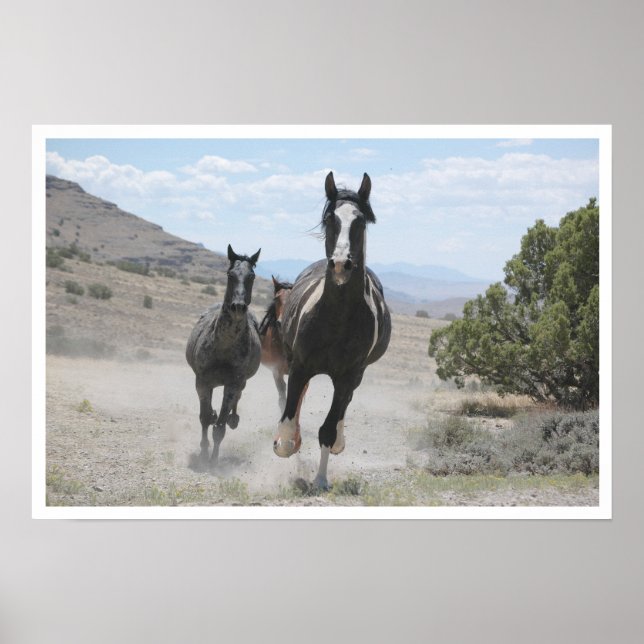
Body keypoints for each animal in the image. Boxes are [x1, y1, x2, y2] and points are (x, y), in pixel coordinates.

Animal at [185, 244, 261, 464]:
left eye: (252, 276)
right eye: (230, 274)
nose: (238, 307)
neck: (224, 347)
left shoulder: (233, 384)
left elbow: (219, 427)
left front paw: (213, 461)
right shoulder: (202, 382)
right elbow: (204, 418)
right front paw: (204, 453)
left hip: (240, 383)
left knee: (234, 404)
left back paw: (233, 418)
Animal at [273, 171, 392, 489]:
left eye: (360, 221)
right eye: (330, 219)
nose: (340, 264)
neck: (336, 318)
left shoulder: (349, 376)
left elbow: (327, 429)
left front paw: (321, 479)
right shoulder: (300, 366)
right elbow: (288, 422)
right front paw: (287, 443)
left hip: (354, 377)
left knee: (341, 409)